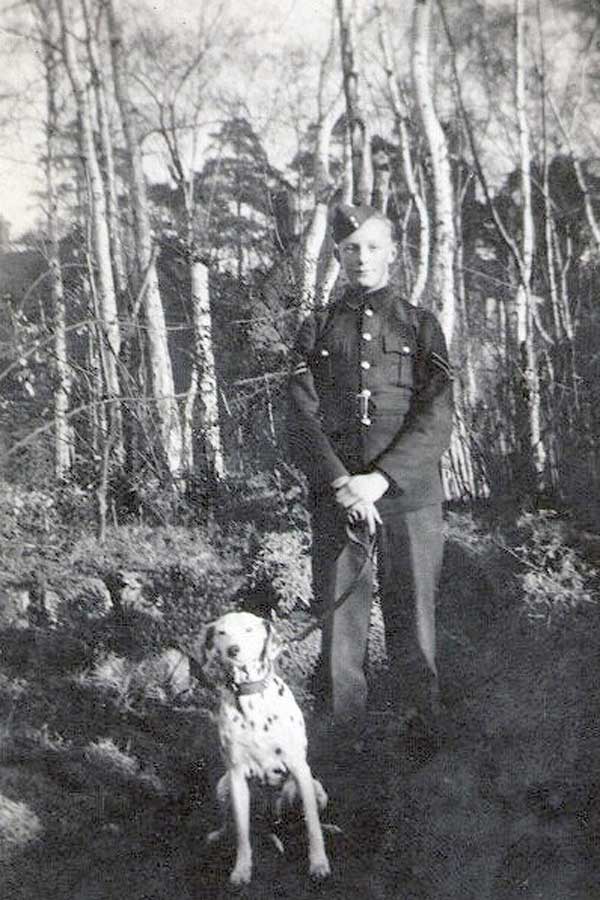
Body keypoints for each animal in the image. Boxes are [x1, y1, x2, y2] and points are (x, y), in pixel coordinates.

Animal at [197, 612, 330, 884]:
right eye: (221, 632)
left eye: (249, 630)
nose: (233, 650)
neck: (251, 697)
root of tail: (272, 822)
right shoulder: (236, 775)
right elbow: (241, 833)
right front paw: (241, 869)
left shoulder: (300, 769)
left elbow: (312, 825)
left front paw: (319, 863)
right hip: (222, 786)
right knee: (231, 825)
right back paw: (218, 835)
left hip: (317, 789)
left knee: (308, 821)